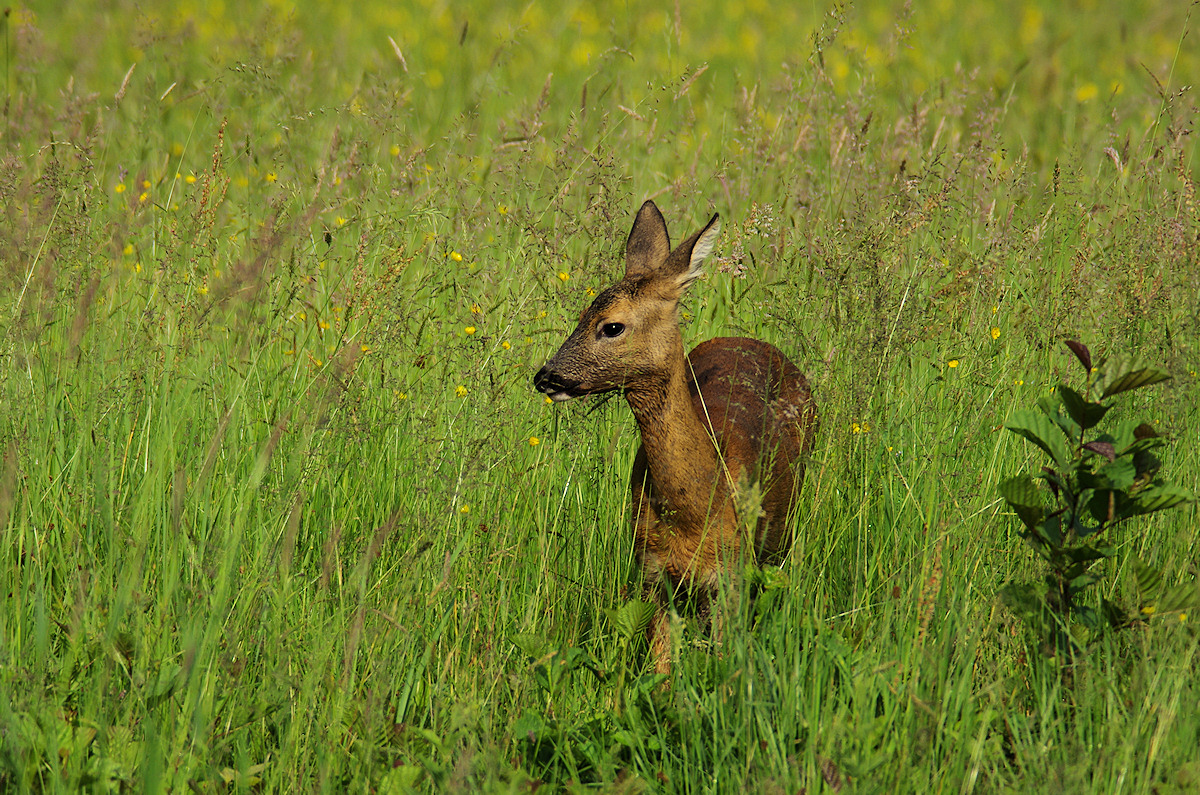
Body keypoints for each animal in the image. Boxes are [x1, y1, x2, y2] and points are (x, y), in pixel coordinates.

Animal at [535, 202, 816, 677]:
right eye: (582, 316)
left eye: (612, 327)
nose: (546, 376)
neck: (695, 510)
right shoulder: (651, 570)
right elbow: (659, 667)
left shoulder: (732, 573)